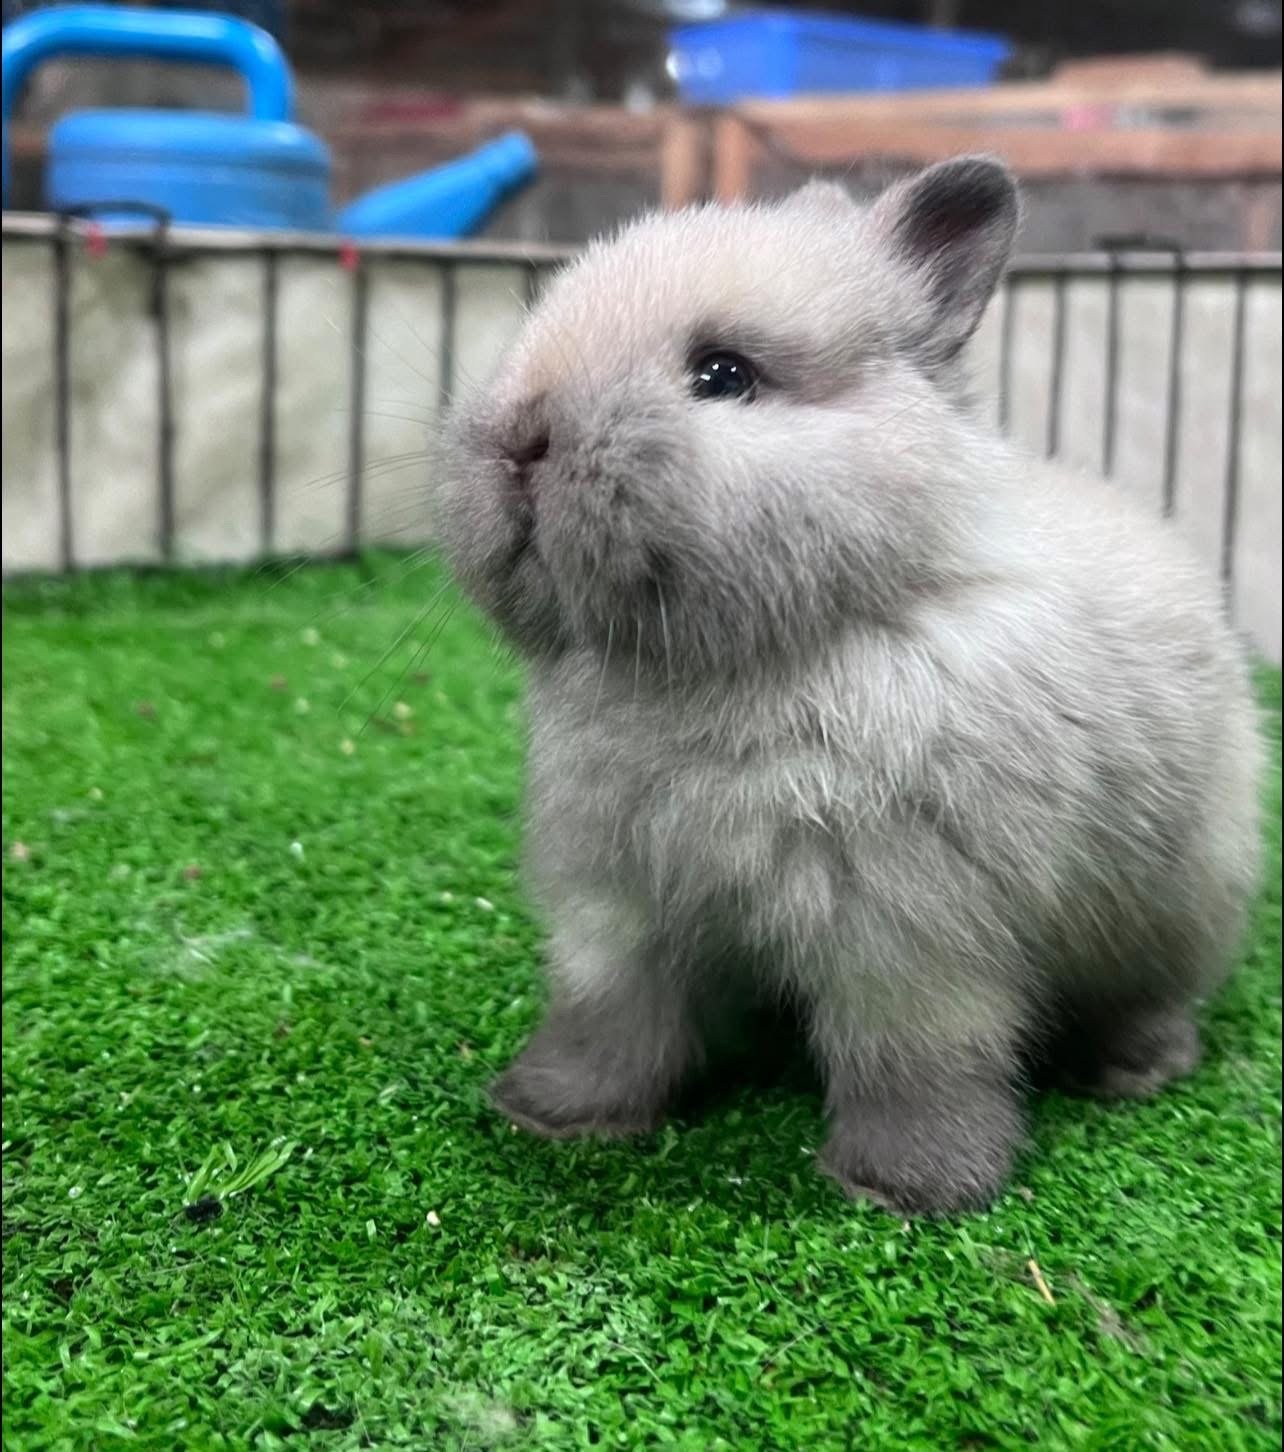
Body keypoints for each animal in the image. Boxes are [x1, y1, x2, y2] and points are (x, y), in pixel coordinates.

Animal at [433, 156, 1263, 1216]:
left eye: (723, 375)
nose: (519, 435)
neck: (727, 667)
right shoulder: (616, 911)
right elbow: (607, 1022)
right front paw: (548, 1113)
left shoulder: (908, 936)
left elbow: (912, 1063)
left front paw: (904, 1189)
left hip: (1176, 912)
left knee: (1155, 1002)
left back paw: (1130, 1073)